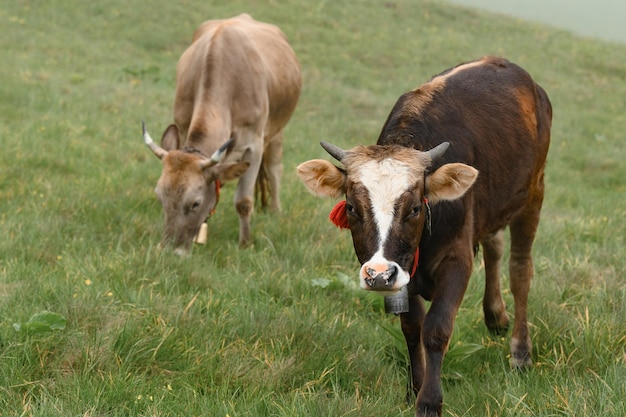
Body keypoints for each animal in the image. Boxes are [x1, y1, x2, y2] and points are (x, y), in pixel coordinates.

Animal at [146, 13, 302, 254]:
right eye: (160, 197)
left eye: (196, 203)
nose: (171, 250)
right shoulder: (183, 127)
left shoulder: (254, 144)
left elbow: (243, 201)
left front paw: (245, 243)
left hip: (278, 130)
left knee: (274, 168)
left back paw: (275, 211)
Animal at [294, 56, 548, 416]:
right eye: (352, 208)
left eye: (414, 208)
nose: (378, 275)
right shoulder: (404, 272)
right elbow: (412, 328)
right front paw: (414, 388)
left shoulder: (457, 259)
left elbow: (436, 328)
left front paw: (429, 401)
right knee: (494, 245)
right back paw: (495, 315)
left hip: (533, 192)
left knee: (520, 270)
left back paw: (520, 351)